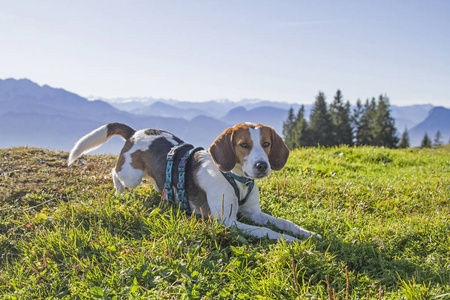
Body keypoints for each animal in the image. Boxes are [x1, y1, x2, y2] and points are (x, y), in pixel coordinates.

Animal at [67, 122, 320, 241]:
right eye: (243, 145)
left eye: (266, 144)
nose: (262, 166)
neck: (237, 179)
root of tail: (135, 132)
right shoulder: (227, 222)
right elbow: (268, 231)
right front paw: (290, 241)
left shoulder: (253, 213)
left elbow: (285, 222)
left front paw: (307, 234)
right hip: (132, 176)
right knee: (114, 171)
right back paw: (119, 191)